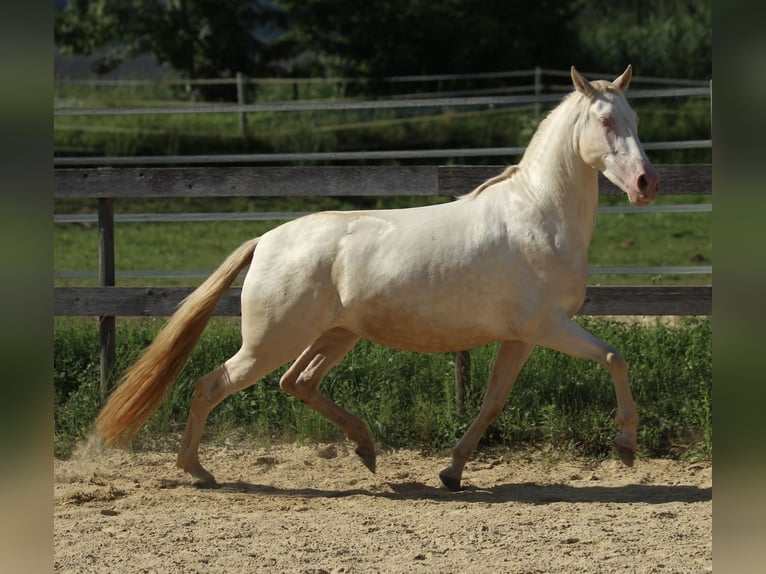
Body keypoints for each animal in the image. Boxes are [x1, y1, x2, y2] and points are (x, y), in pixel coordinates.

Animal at [94, 66, 660, 490]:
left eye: (635, 118)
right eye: (606, 120)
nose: (646, 183)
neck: (538, 214)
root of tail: (266, 241)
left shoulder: (522, 337)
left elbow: (492, 401)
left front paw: (452, 471)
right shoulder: (547, 326)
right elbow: (616, 357)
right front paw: (626, 446)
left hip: (334, 335)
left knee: (296, 382)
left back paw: (365, 449)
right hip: (270, 341)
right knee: (211, 384)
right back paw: (197, 470)